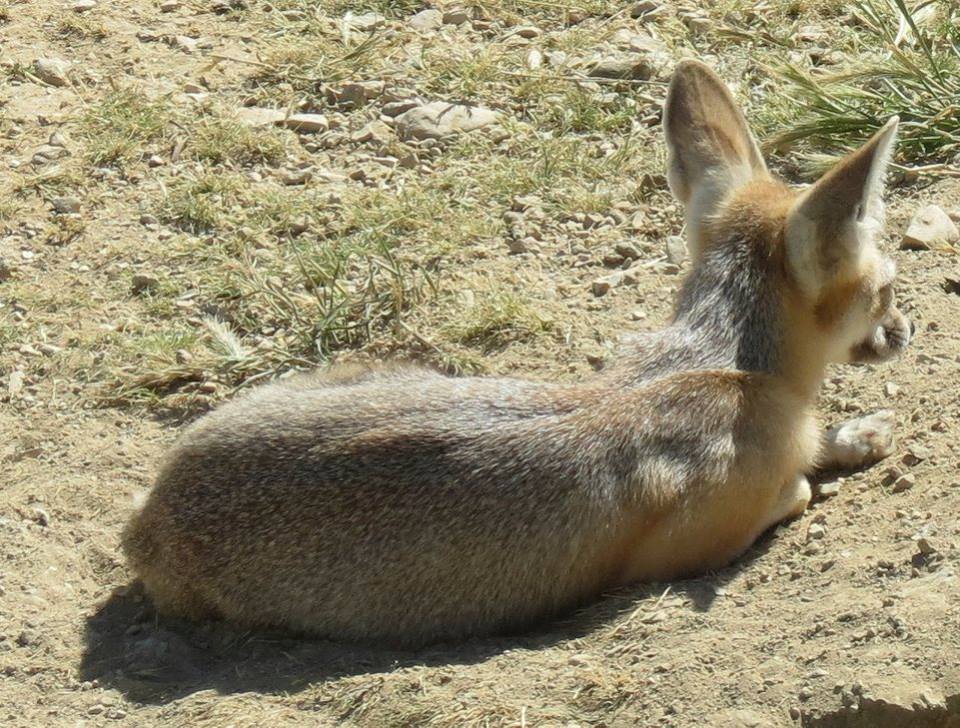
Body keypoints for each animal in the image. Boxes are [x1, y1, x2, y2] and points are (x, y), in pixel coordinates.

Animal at [121, 60, 912, 647]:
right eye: (885, 288)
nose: (906, 331)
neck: (722, 362)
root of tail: (147, 521)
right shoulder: (696, 540)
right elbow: (797, 487)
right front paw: (831, 453)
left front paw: (854, 433)